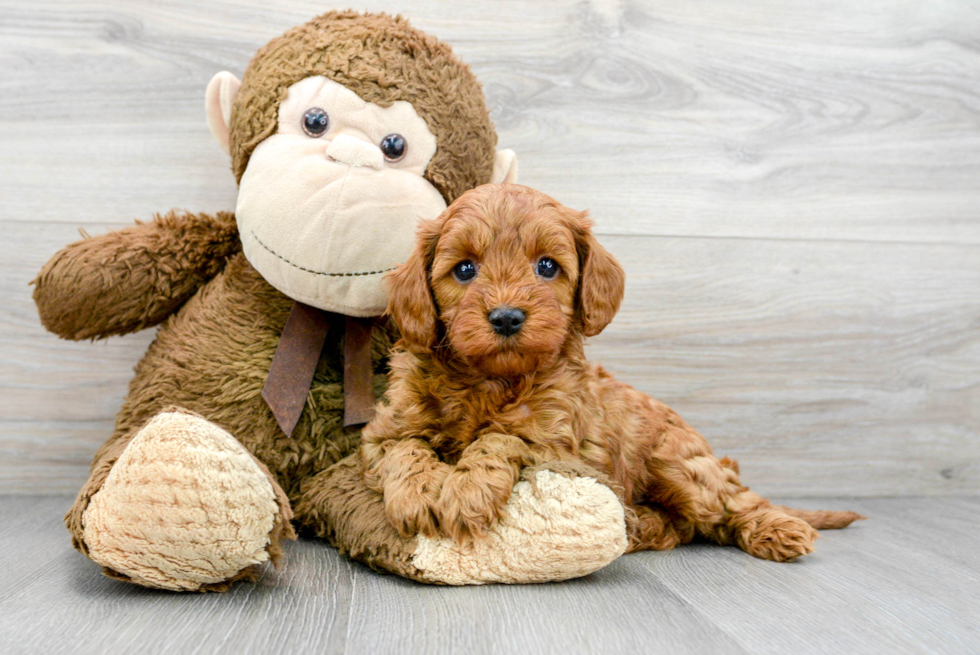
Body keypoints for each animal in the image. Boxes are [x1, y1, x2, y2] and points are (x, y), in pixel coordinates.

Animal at [358, 184, 856, 564]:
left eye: (547, 266)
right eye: (464, 269)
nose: (506, 317)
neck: (489, 380)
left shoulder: (553, 440)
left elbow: (500, 438)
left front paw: (465, 491)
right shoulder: (384, 432)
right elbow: (405, 449)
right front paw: (420, 494)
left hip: (677, 462)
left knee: (733, 503)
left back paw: (780, 529)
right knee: (685, 526)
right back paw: (641, 525)